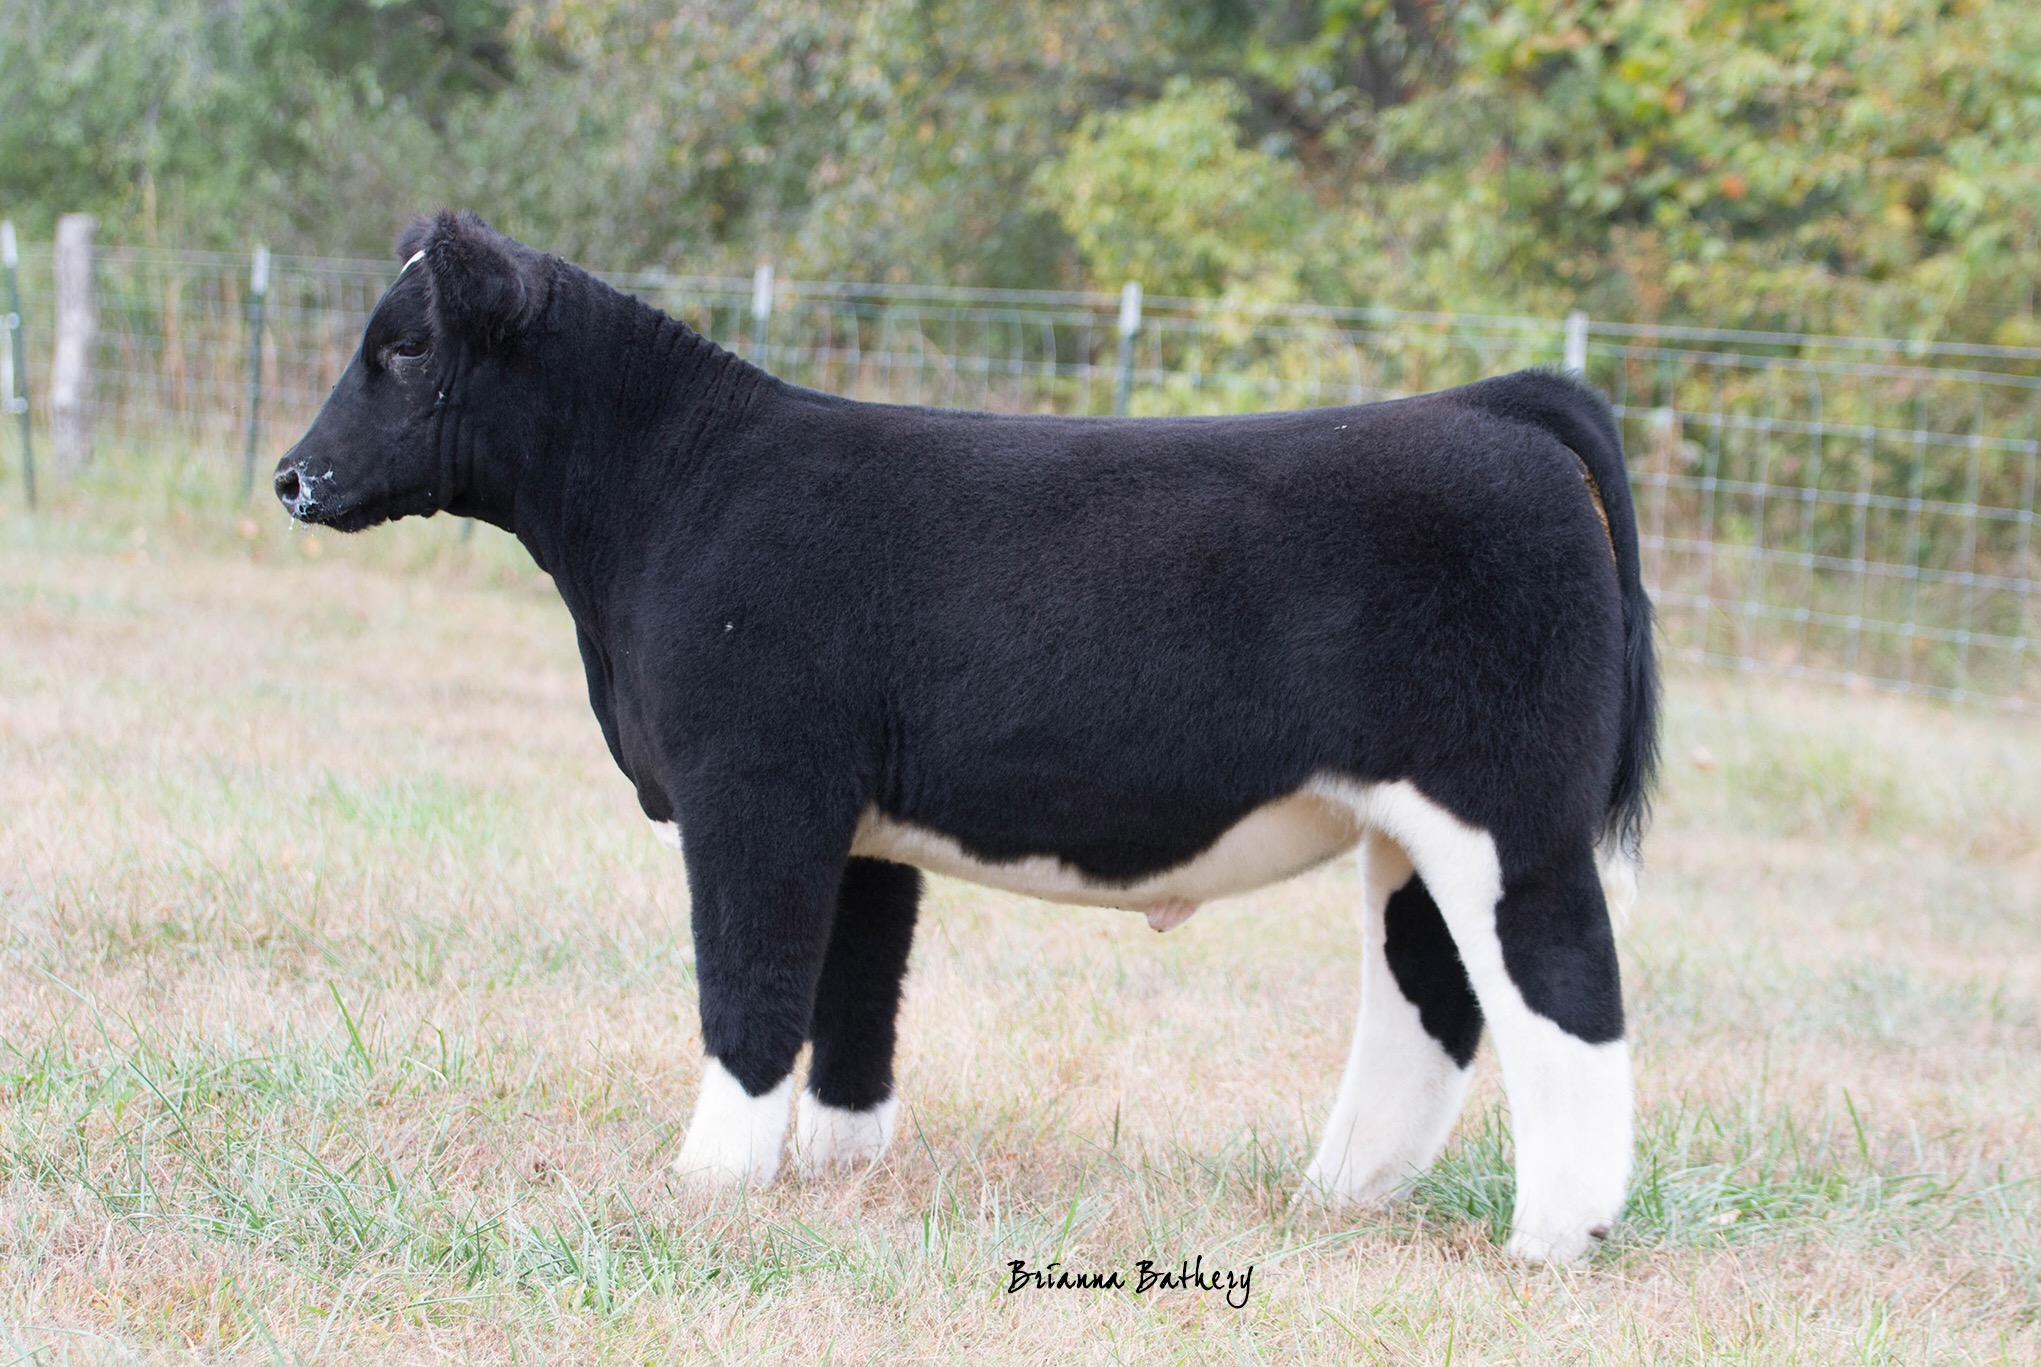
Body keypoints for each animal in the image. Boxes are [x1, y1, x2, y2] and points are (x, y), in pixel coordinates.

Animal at [275, 212, 1659, 1263]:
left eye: (405, 347)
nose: (292, 475)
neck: (667, 496)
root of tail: (1490, 407)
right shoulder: (859, 823)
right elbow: (854, 1000)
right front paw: (834, 1170)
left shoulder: (755, 787)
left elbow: (751, 983)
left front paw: (711, 1178)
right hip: (1408, 827)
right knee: (1426, 1001)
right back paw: (1336, 1195)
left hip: (1507, 813)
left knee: (1566, 989)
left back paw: (1552, 1239)